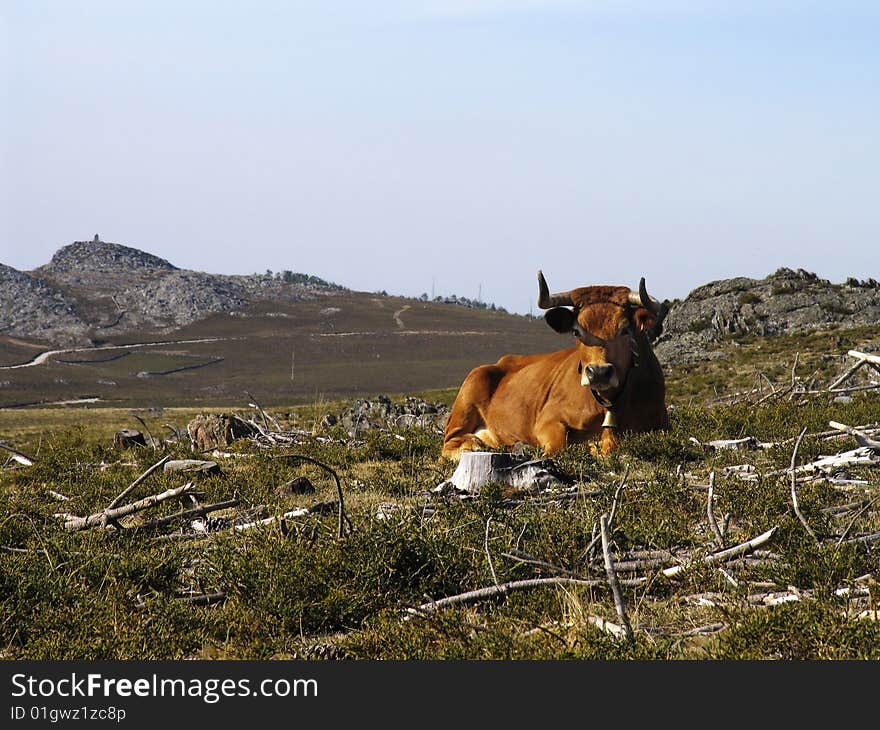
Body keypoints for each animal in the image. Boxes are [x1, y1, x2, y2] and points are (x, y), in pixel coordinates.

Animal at [444, 270, 672, 458]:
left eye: (625, 330)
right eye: (576, 331)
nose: (598, 372)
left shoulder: (661, 426)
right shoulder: (547, 419)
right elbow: (559, 445)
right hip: (467, 399)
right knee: (449, 444)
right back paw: (475, 445)